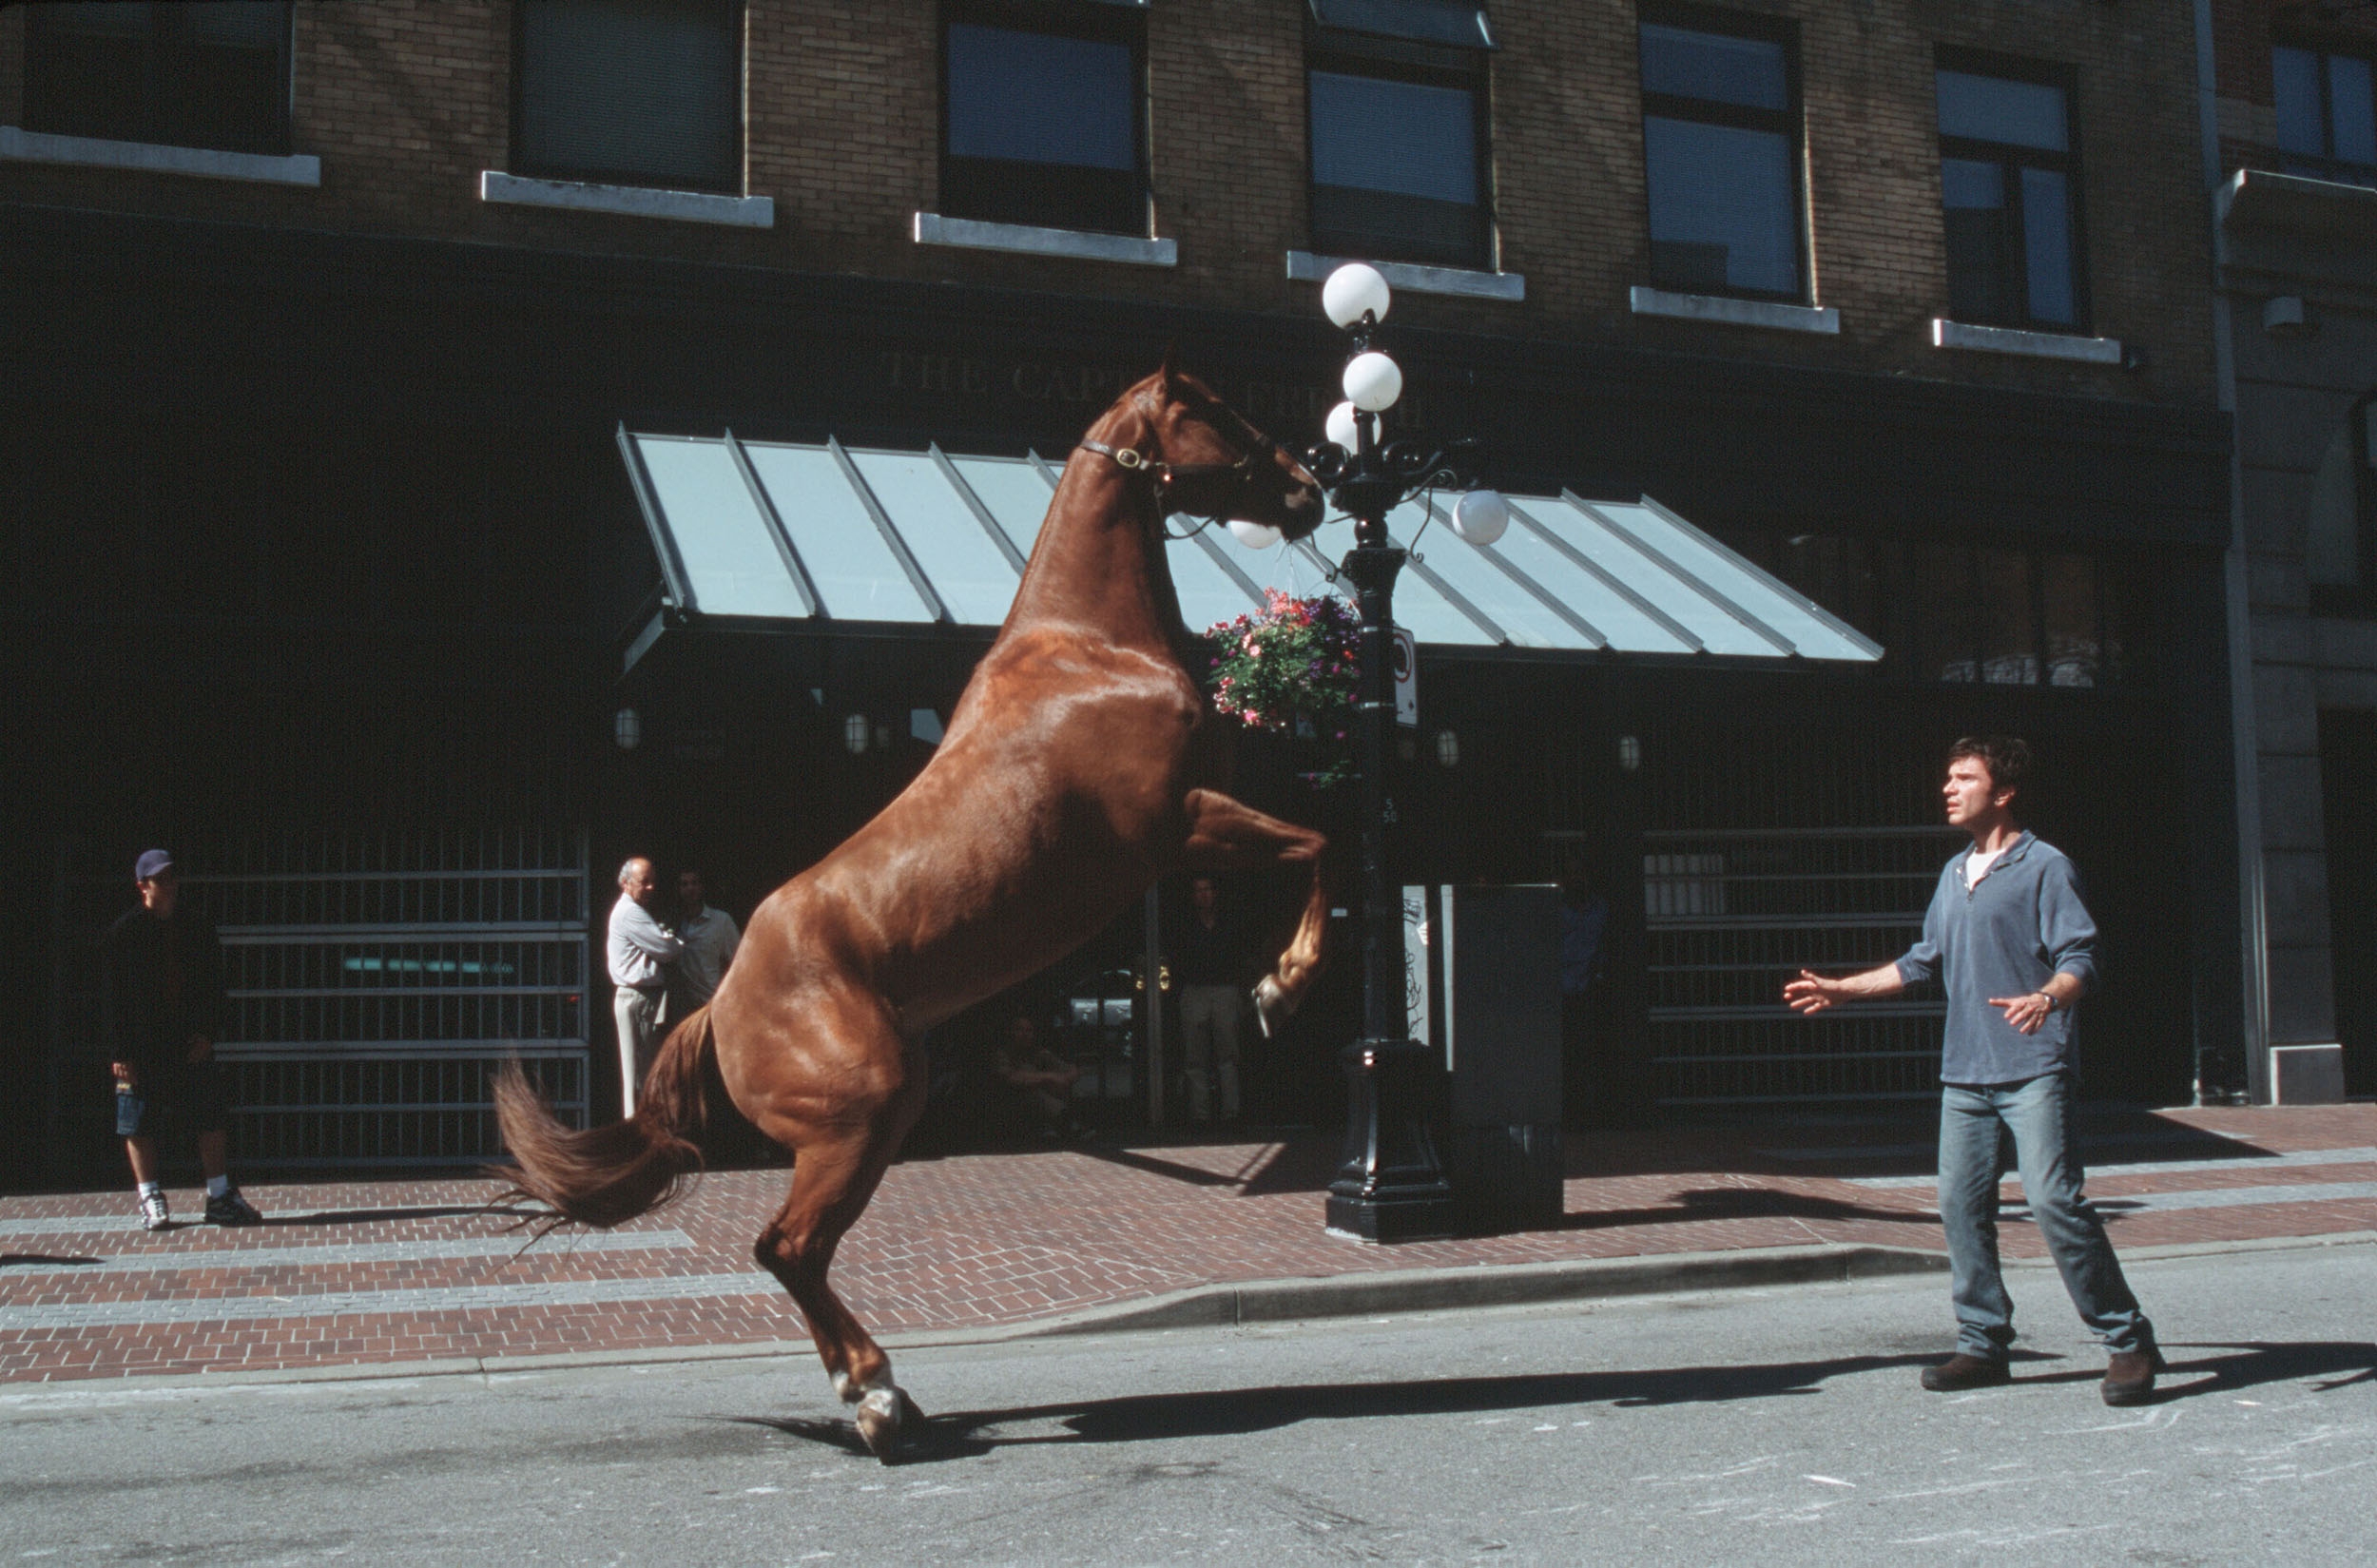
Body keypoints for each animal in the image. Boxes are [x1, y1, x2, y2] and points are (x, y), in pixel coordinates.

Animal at [496, 360, 1341, 1463]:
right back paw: (880, 1399)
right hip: (867, 1108)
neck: (1095, 649)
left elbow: (1316, 847)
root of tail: (720, 1007)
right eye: (1217, 410)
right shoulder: (1178, 828)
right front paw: (1280, 989)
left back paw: (884, 1396)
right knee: (786, 1245)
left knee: (794, 1251)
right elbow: (1321, 846)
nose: (1308, 488)